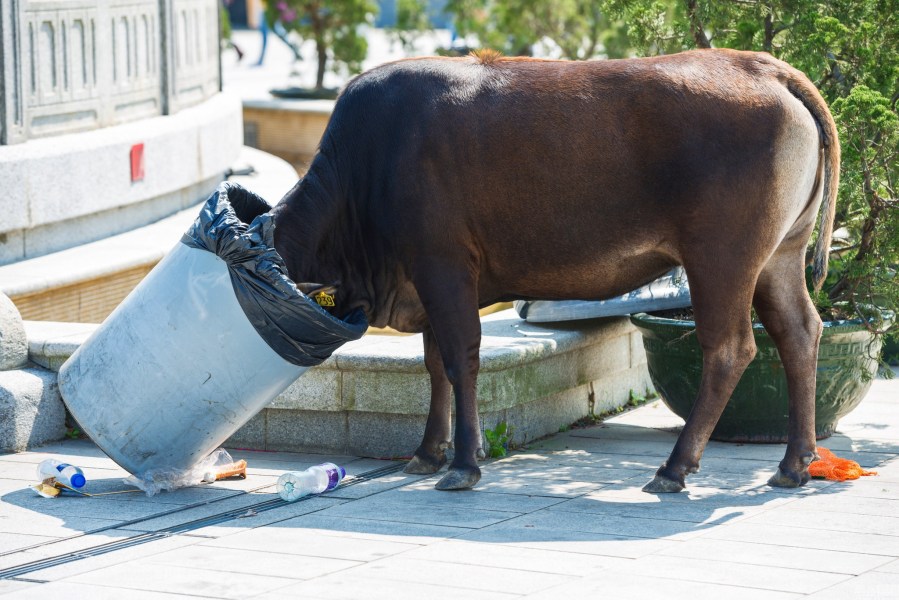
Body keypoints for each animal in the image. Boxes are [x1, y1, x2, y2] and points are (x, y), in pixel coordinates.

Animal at [270, 49, 840, 492]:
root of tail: (764, 66)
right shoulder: (427, 280)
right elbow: (434, 365)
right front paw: (429, 452)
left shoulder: (443, 265)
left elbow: (459, 360)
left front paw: (462, 464)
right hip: (779, 255)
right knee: (798, 332)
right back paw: (793, 464)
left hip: (721, 258)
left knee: (729, 349)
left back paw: (675, 467)